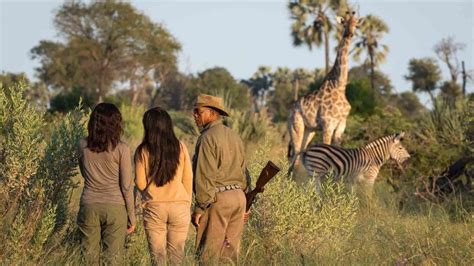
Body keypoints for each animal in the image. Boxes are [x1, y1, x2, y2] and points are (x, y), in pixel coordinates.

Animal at [286, 11, 364, 171]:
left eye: (356, 24)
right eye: (344, 23)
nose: (350, 33)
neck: (340, 86)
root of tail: (289, 111)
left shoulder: (341, 125)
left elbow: (337, 151)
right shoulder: (328, 124)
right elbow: (327, 150)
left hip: (309, 130)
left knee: (300, 154)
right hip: (296, 126)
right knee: (294, 154)